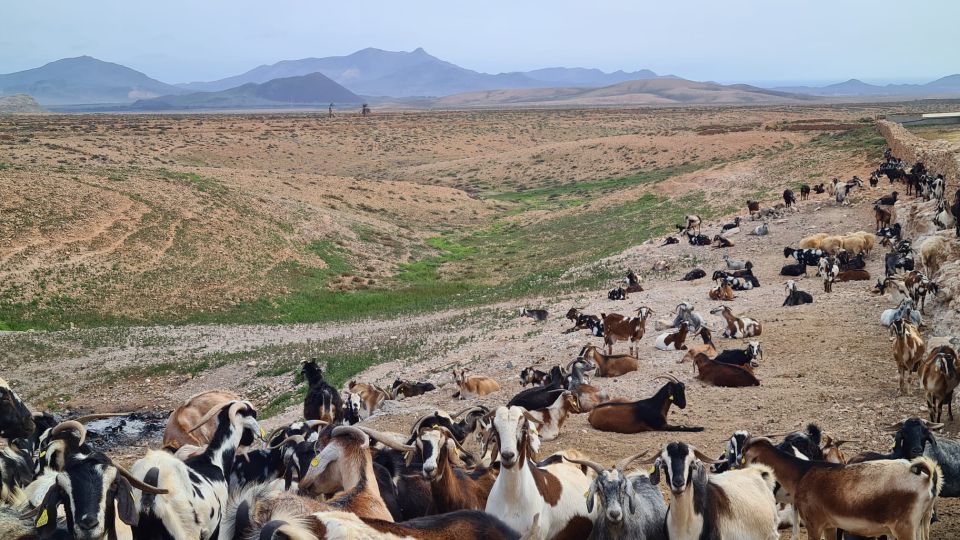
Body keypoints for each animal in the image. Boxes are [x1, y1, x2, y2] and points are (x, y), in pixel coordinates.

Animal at [744, 436, 936, 540]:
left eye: (745, 455)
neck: (802, 473)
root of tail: (925, 478)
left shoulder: (814, 525)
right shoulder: (830, 526)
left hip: (905, 529)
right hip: (922, 523)